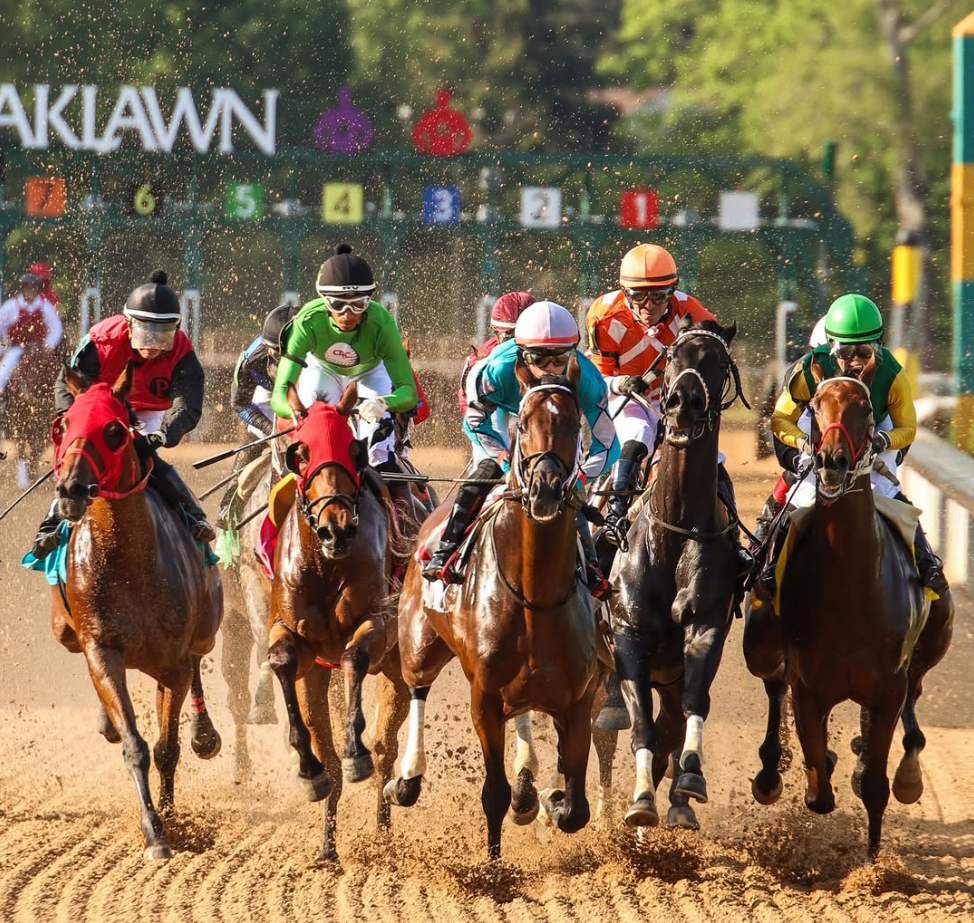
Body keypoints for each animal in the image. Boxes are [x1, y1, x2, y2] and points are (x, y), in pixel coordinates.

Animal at [49, 364, 223, 864]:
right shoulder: (102, 650)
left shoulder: (172, 666)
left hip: (206, 628)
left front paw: (172, 821)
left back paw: (205, 733)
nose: (70, 490)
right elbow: (135, 746)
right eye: (63, 425)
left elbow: (167, 748)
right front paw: (153, 830)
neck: (128, 560)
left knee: (199, 661)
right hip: (64, 629)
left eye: (112, 430)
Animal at [266, 386, 412, 864]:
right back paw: (327, 845)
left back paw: (382, 834)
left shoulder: (377, 622)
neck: (326, 565)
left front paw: (355, 751)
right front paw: (308, 770)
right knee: (327, 750)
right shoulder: (292, 635)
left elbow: (354, 657)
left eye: (354, 450)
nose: (337, 530)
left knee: (386, 749)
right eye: (301, 452)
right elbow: (281, 659)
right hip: (316, 677)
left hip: (399, 668)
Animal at [386, 358, 608, 864]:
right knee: (417, 688)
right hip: (419, 643)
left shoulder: (579, 699)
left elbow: (577, 808)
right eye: (523, 423)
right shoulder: (483, 698)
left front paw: (550, 799)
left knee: (523, 716)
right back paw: (406, 777)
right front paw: (492, 868)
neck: (535, 598)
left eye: (574, 423)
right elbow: (494, 793)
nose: (545, 489)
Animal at [608, 318, 748, 832]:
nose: (683, 402)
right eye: (671, 356)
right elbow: (641, 725)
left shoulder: (705, 625)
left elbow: (694, 703)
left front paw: (689, 781)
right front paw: (640, 801)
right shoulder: (628, 634)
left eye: (719, 361)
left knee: (671, 720)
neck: (675, 528)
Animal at [744, 368, 956, 860]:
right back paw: (772, 772)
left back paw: (903, 770)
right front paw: (820, 765)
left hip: (936, 637)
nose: (831, 463)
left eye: (864, 408)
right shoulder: (807, 687)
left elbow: (876, 784)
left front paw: (875, 863)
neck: (849, 592)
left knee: (916, 692)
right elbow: (818, 791)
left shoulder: (887, 685)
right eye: (815, 405)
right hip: (758, 644)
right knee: (772, 687)